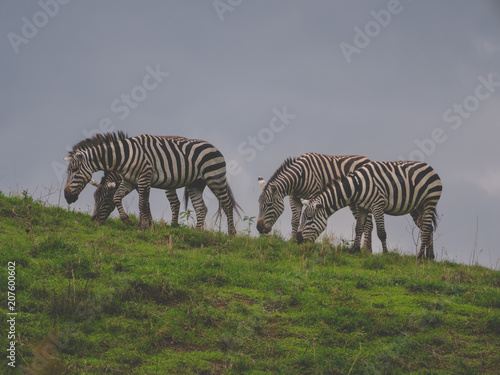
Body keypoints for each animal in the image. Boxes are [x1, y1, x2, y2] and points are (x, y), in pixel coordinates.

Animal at [64, 131, 240, 234]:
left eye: (74, 171)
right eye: (95, 198)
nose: (67, 197)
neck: (123, 156)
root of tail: (213, 146)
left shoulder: (144, 177)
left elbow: (142, 203)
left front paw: (144, 226)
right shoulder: (130, 181)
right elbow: (120, 198)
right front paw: (129, 220)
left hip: (214, 177)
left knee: (227, 203)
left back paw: (231, 233)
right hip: (195, 183)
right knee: (201, 207)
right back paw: (197, 233)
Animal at [296, 160, 442, 260]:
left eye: (309, 219)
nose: (298, 240)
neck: (357, 186)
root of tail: (429, 167)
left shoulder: (377, 204)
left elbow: (381, 232)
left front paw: (385, 254)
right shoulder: (362, 207)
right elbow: (359, 228)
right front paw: (354, 249)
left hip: (430, 201)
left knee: (426, 228)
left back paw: (420, 256)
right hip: (417, 207)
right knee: (427, 227)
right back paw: (429, 257)